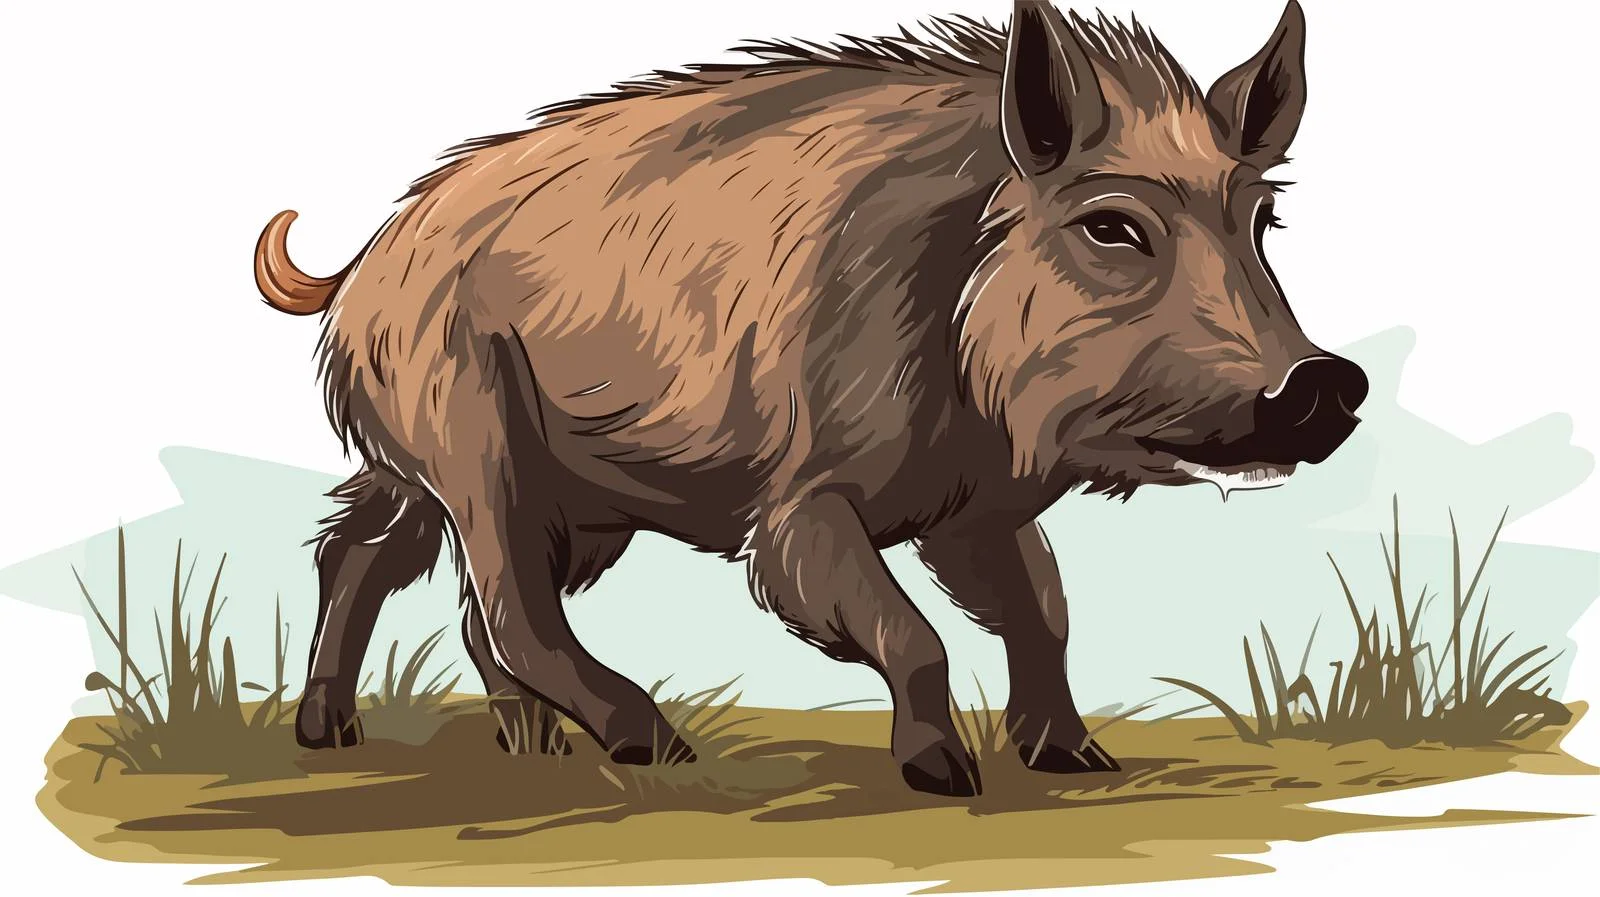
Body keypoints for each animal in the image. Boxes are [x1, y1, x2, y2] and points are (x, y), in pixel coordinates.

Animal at [254, 0, 1365, 796]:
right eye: (1111, 226)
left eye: (1261, 221)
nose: (1324, 380)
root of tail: (365, 265)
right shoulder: (797, 507)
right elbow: (908, 630)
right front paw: (944, 777)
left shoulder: (972, 512)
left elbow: (1041, 610)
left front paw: (1079, 762)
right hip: (474, 443)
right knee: (502, 603)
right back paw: (656, 748)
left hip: (496, 485)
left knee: (381, 561)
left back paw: (398, 739)